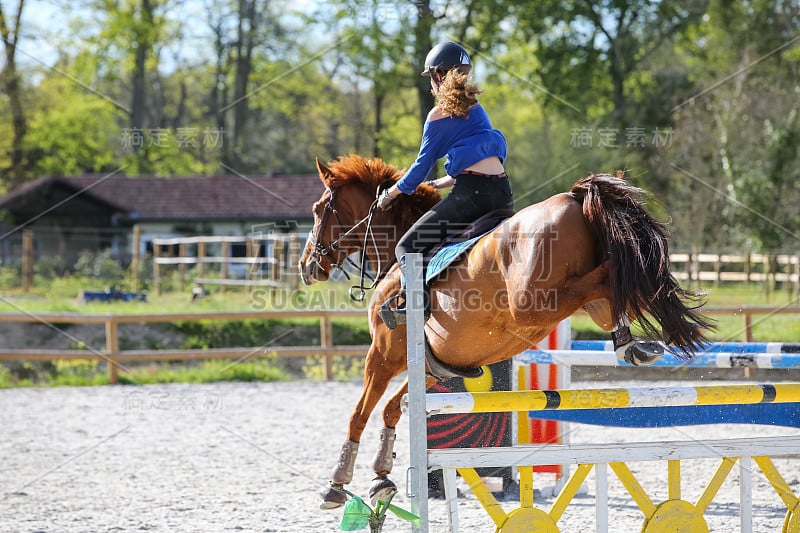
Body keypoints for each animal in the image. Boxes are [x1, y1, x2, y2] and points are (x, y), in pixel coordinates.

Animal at [296, 153, 708, 508]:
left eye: (318, 210)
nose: (306, 265)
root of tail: (574, 199)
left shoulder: (381, 356)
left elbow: (360, 413)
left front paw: (337, 484)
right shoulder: (430, 366)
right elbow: (393, 410)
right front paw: (381, 478)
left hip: (533, 302)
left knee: (606, 278)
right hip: (585, 308)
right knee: (611, 292)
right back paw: (631, 345)